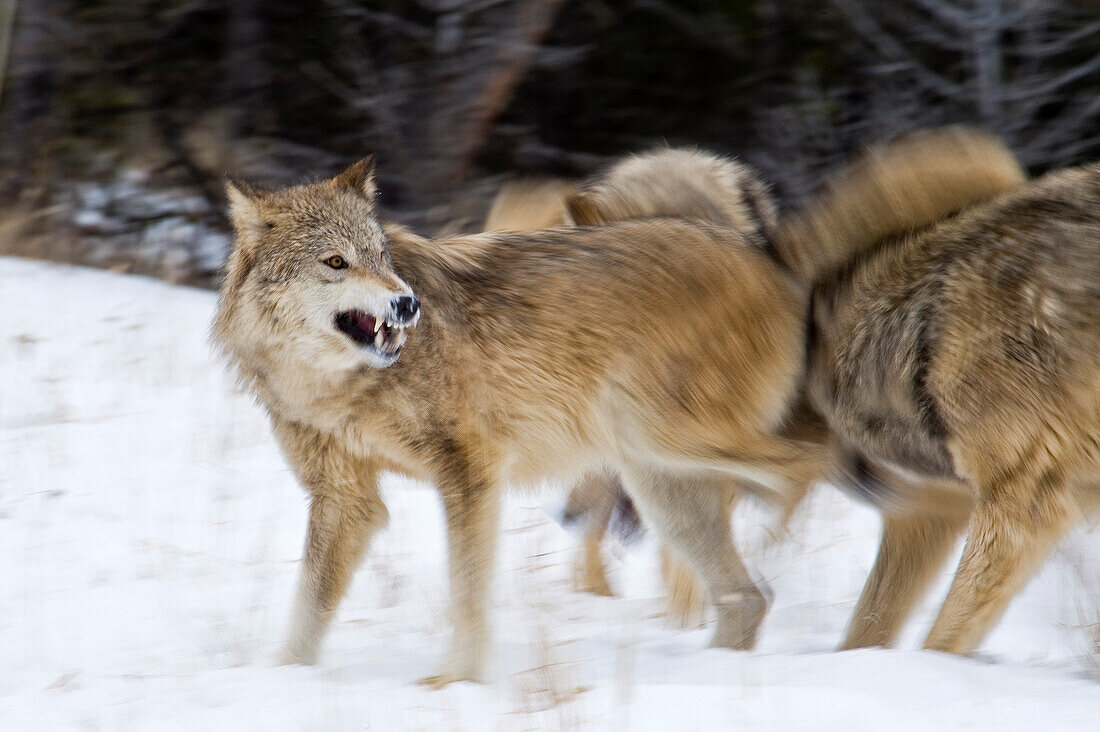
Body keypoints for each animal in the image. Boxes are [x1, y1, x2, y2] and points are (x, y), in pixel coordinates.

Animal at [210, 155, 827, 686]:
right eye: (336, 262)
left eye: (380, 258)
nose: (407, 304)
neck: (341, 385)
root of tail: (763, 257)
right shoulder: (345, 499)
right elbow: (307, 607)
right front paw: (282, 678)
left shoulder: (470, 474)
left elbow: (466, 590)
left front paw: (456, 682)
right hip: (660, 480)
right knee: (748, 596)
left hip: (655, 437)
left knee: (814, 459)